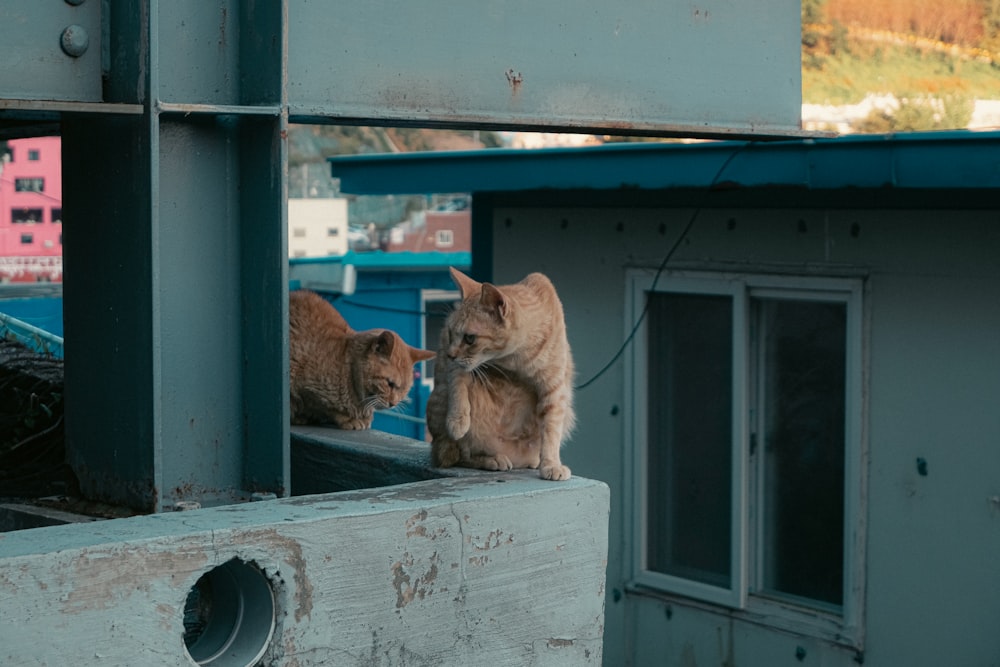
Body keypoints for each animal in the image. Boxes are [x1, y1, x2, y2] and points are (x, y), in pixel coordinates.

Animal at [286, 290, 434, 428]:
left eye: (404, 390)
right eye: (390, 383)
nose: (393, 404)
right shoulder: (301, 383)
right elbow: (324, 406)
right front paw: (349, 419)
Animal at [424, 268, 580, 482]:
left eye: (470, 338)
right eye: (449, 332)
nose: (450, 354)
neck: (517, 359)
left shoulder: (554, 389)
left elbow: (551, 432)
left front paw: (551, 464)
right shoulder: (456, 367)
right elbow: (458, 385)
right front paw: (457, 420)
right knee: (457, 455)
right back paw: (491, 459)